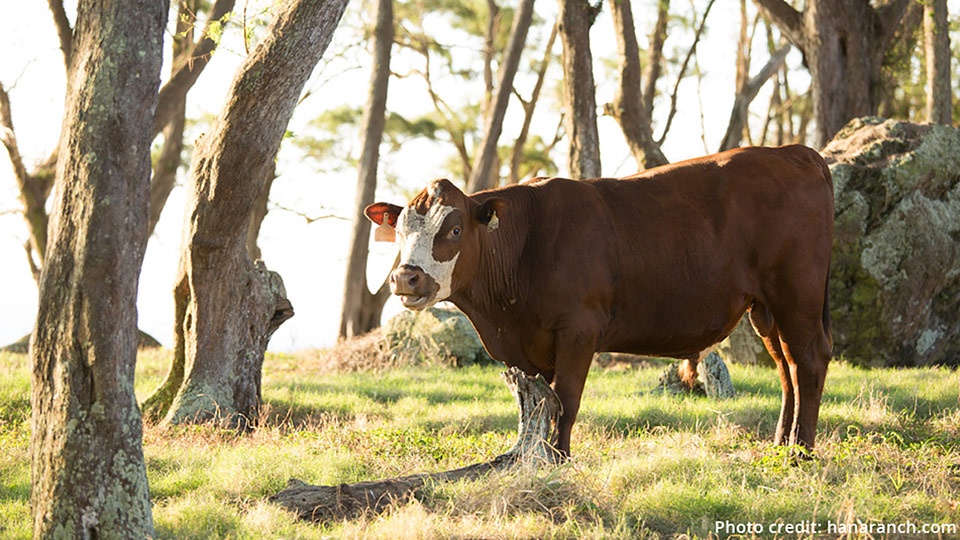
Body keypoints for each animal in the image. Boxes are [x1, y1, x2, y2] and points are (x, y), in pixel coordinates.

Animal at [368, 146, 832, 458]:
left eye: (455, 229)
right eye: (402, 229)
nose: (405, 277)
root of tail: (796, 152)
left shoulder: (579, 329)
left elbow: (566, 401)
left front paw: (560, 459)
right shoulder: (527, 347)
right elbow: (540, 404)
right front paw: (539, 456)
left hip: (796, 296)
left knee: (808, 361)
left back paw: (801, 453)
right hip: (765, 309)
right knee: (786, 367)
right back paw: (781, 443)